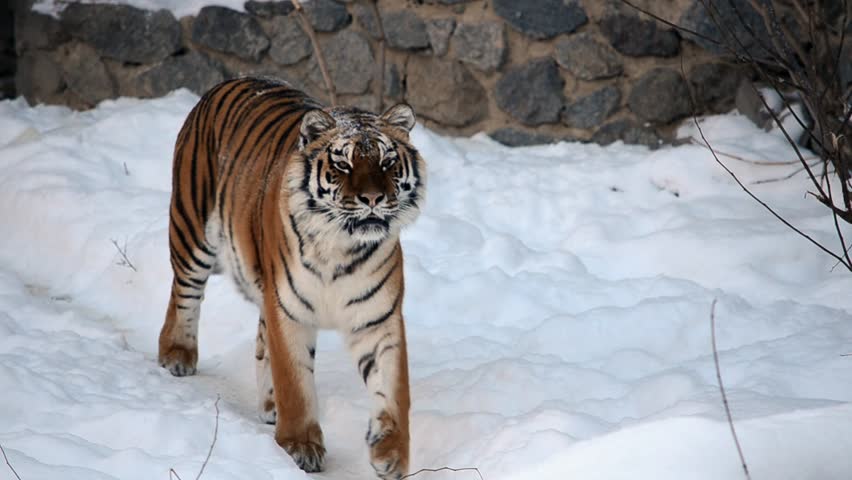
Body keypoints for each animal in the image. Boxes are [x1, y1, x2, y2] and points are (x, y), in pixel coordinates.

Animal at [156, 77, 426, 478]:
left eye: (388, 161)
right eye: (343, 163)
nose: (373, 199)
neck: (341, 246)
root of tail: (233, 80)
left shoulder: (377, 320)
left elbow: (393, 391)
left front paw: (390, 453)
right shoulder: (289, 311)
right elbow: (295, 383)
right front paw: (301, 446)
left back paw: (270, 407)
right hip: (192, 231)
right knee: (183, 294)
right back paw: (177, 354)